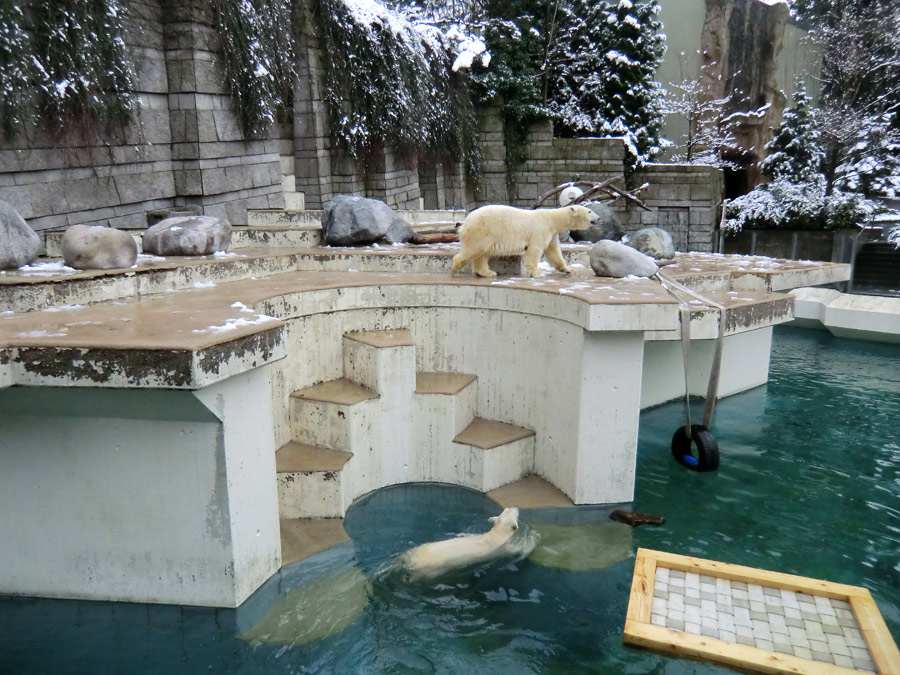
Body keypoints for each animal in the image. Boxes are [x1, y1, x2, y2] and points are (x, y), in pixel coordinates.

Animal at [448, 203, 596, 278]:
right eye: (589, 211)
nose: (598, 218)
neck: (552, 219)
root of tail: (465, 223)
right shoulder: (540, 229)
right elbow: (535, 249)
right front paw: (537, 273)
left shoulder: (552, 234)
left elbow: (553, 252)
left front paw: (567, 269)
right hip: (482, 230)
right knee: (474, 250)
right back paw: (455, 269)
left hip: (486, 234)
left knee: (482, 254)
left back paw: (488, 273)